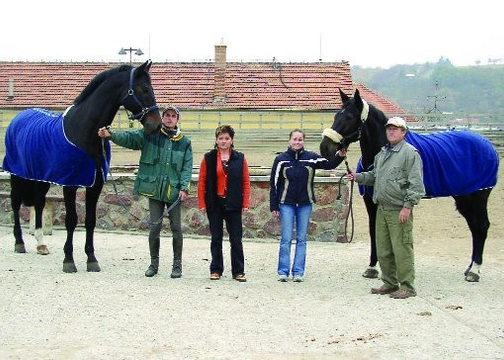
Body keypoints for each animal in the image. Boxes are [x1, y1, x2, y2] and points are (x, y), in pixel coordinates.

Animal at [2, 60, 161, 272]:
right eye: (144, 88)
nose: (156, 125)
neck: (83, 131)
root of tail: (18, 118)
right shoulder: (70, 184)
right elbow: (71, 220)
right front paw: (68, 260)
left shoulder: (96, 184)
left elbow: (90, 221)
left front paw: (91, 259)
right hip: (17, 174)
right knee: (15, 203)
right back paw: (19, 242)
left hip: (40, 178)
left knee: (39, 203)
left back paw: (41, 244)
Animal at [320, 88, 498, 282]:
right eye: (336, 115)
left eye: (350, 117)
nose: (325, 148)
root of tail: (488, 145)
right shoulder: (371, 201)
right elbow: (374, 230)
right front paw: (372, 267)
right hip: (464, 197)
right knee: (474, 227)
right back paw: (470, 268)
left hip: (479, 195)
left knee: (481, 226)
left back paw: (475, 271)